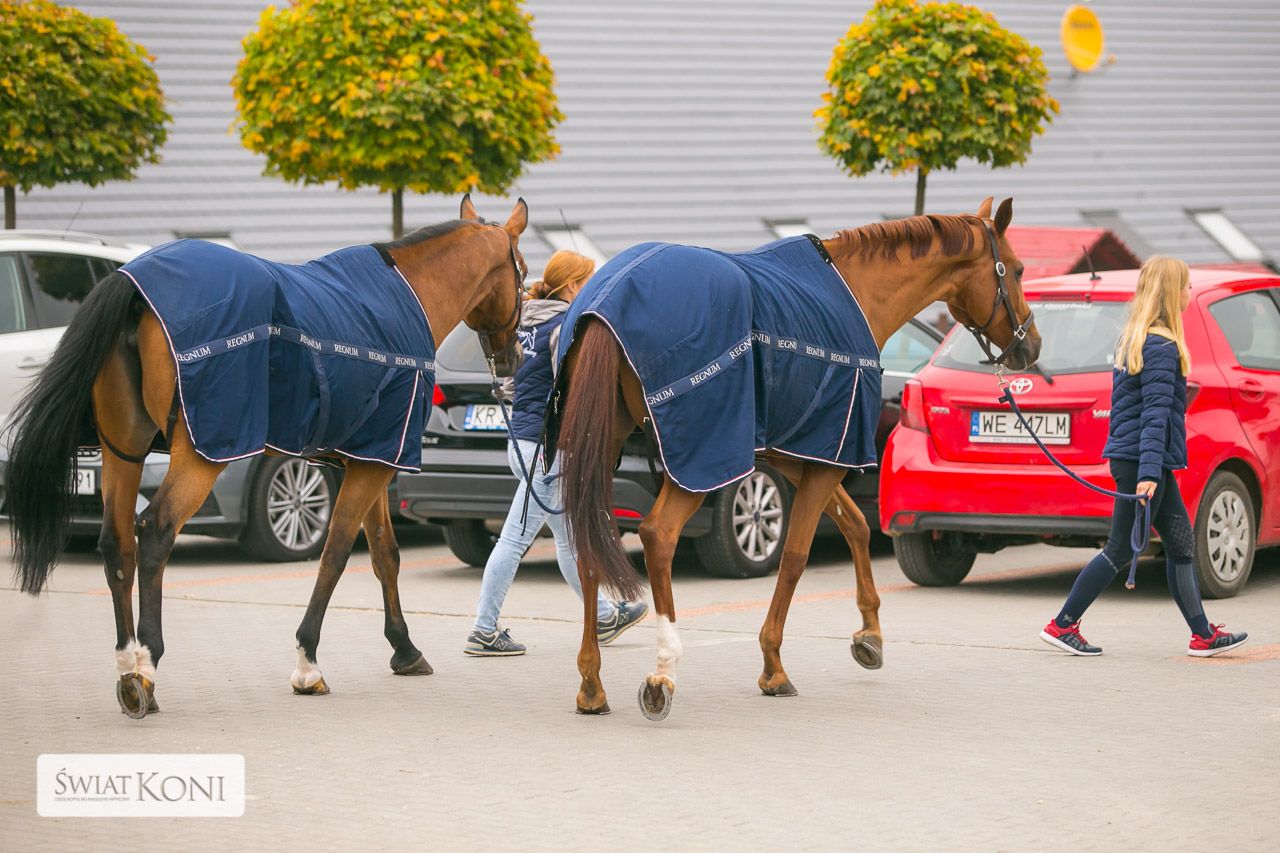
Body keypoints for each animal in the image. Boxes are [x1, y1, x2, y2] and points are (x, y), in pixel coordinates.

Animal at [6, 195, 528, 718]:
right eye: (522, 273)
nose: (512, 361)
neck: (407, 297)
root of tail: (132, 286)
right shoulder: (374, 464)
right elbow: (336, 554)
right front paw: (308, 664)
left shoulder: (373, 460)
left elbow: (385, 554)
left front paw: (405, 649)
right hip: (202, 455)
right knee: (155, 532)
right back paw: (146, 667)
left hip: (124, 451)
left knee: (117, 544)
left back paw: (126, 667)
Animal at [552, 197, 1040, 720]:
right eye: (1016, 269)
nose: (1031, 346)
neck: (855, 291)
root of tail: (607, 305)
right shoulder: (828, 458)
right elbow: (795, 554)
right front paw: (773, 666)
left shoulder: (799, 451)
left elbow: (855, 524)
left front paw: (870, 635)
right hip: (701, 461)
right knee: (658, 535)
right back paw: (663, 672)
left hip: (601, 445)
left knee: (588, 542)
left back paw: (591, 682)